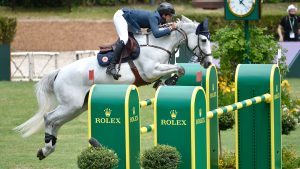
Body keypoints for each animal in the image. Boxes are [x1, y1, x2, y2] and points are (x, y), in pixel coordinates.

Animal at [14, 15, 213, 160]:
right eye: (203, 40)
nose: (209, 62)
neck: (159, 44)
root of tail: (59, 72)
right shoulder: (150, 71)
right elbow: (179, 68)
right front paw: (168, 82)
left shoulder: (158, 69)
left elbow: (176, 70)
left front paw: (164, 83)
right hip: (71, 105)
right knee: (49, 118)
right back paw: (47, 148)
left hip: (77, 107)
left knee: (55, 122)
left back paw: (46, 150)